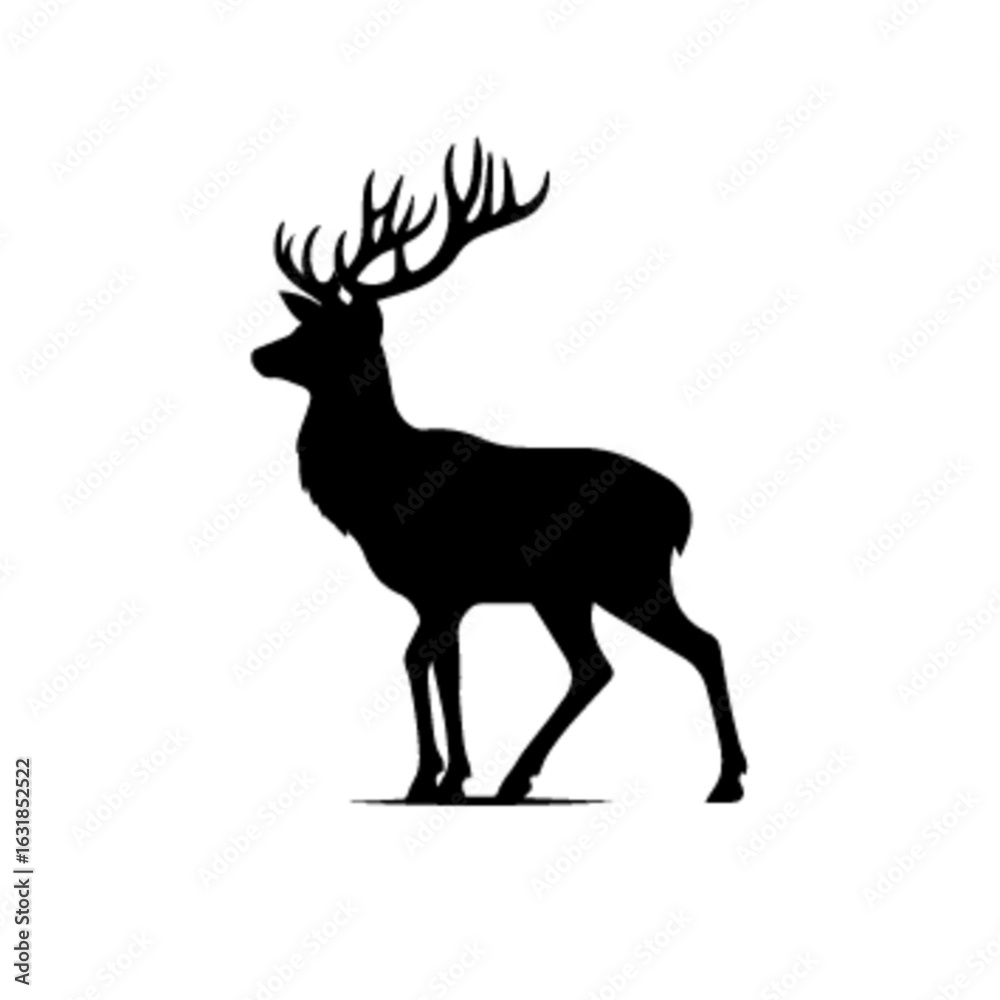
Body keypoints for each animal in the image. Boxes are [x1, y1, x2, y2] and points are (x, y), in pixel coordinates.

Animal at [251, 140, 748, 804]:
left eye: (328, 332)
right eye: (302, 322)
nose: (259, 354)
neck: (378, 487)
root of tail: (680, 508)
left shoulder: (441, 584)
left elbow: (418, 661)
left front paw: (429, 777)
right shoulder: (445, 597)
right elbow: (443, 669)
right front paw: (448, 777)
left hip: (623, 576)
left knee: (688, 646)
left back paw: (720, 779)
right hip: (573, 591)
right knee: (605, 665)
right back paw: (524, 776)